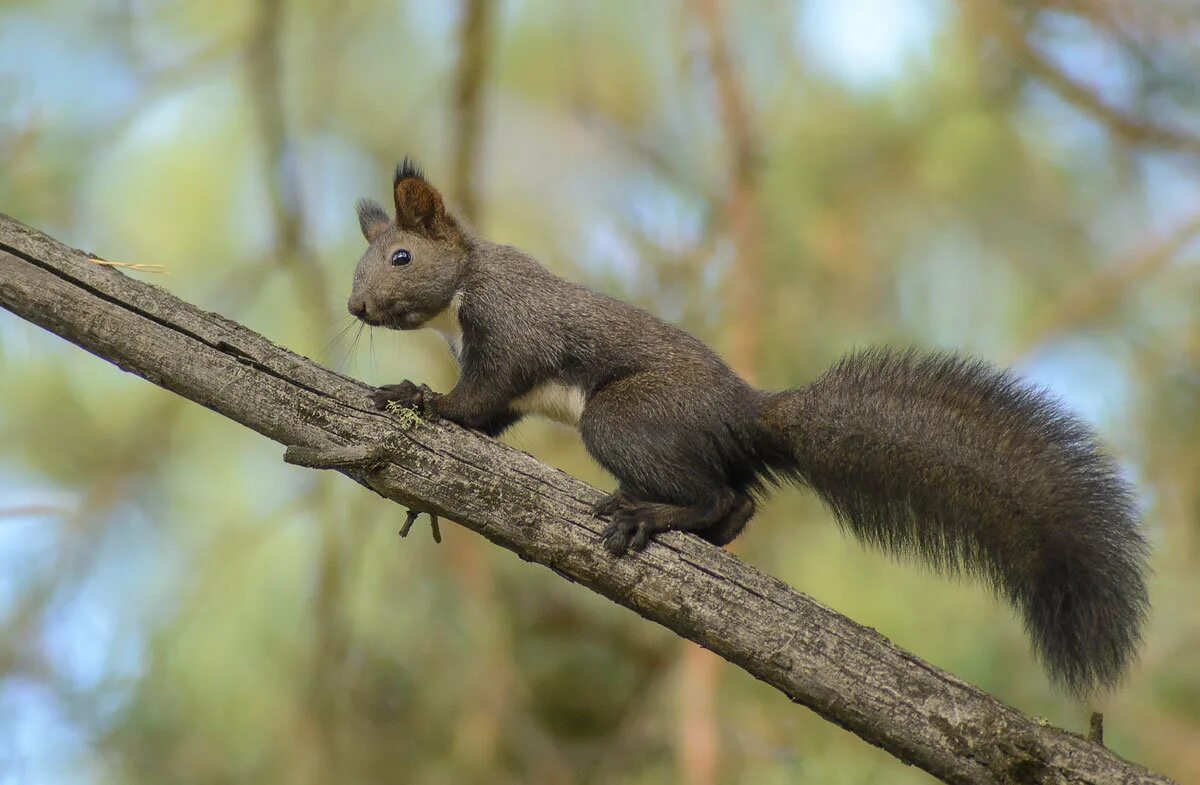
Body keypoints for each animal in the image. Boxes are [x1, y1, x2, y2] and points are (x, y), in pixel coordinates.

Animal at [350, 159, 1152, 700]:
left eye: (401, 256)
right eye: (362, 262)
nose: (356, 307)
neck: (461, 294)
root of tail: (745, 417)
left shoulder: (512, 335)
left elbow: (476, 400)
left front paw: (419, 396)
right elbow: (491, 418)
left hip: (624, 418)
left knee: (716, 494)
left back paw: (651, 514)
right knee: (738, 504)